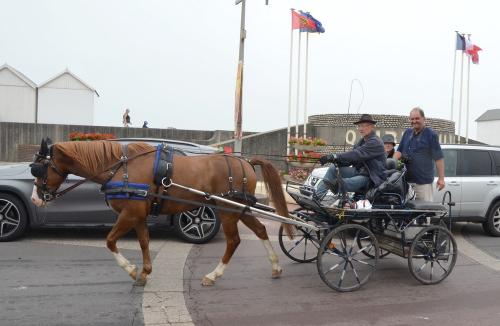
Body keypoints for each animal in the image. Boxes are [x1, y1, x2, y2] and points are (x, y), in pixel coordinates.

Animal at [30, 139, 292, 286]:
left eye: (39, 168)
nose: (34, 198)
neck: (121, 168)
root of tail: (245, 162)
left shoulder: (129, 215)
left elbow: (110, 241)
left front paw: (131, 269)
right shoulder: (139, 216)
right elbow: (144, 242)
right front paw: (144, 272)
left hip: (228, 210)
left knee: (233, 241)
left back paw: (213, 275)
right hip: (241, 209)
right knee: (260, 230)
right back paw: (276, 267)